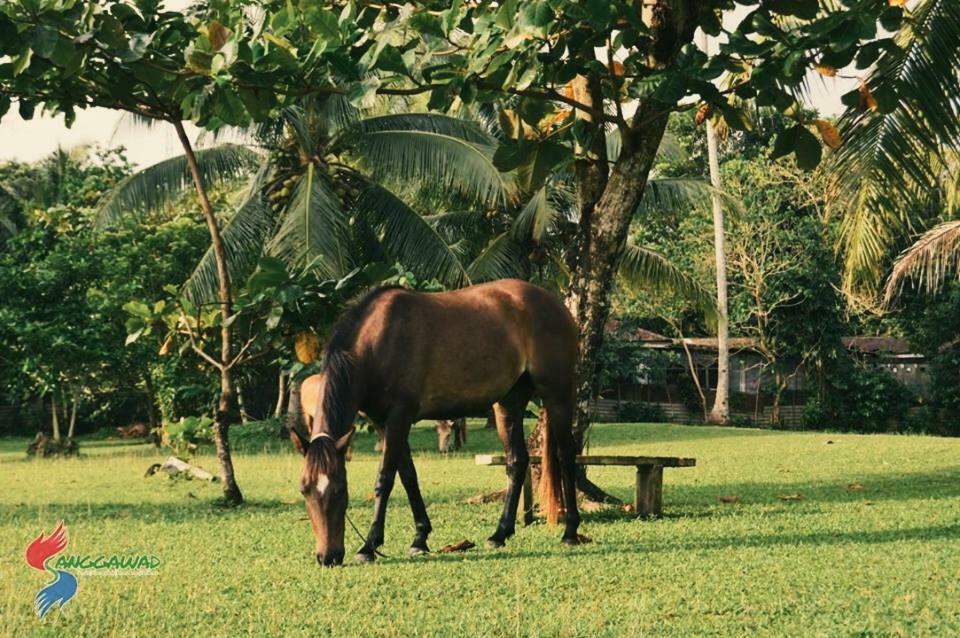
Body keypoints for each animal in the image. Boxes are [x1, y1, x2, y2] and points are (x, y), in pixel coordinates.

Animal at [292, 280, 576, 564]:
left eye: (341, 489)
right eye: (304, 490)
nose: (328, 557)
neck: (377, 343)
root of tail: (555, 303)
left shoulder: (400, 417)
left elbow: (385, 478)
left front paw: (369, 545)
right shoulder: (385, 422)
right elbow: (408, 476)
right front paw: (420, 538)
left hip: (557, 396)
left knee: (565, 456)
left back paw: (571, 532)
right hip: (508, 405)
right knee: (517, 461)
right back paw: (499, 534)